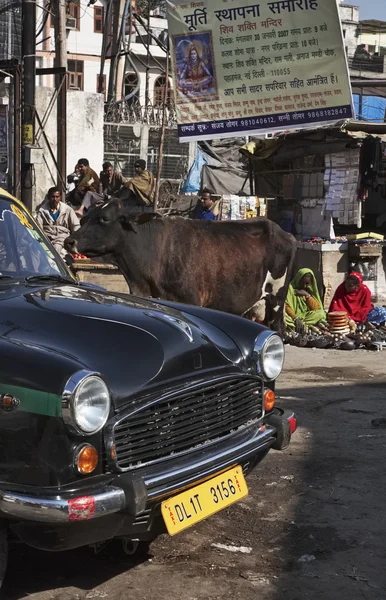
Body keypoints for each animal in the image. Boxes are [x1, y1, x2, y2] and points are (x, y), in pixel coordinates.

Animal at [66, 200, 296, 332]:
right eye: (84, 218)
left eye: (104, 219)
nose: (70, 241)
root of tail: (282, 231)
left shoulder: (190, 300)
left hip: (276, 296)